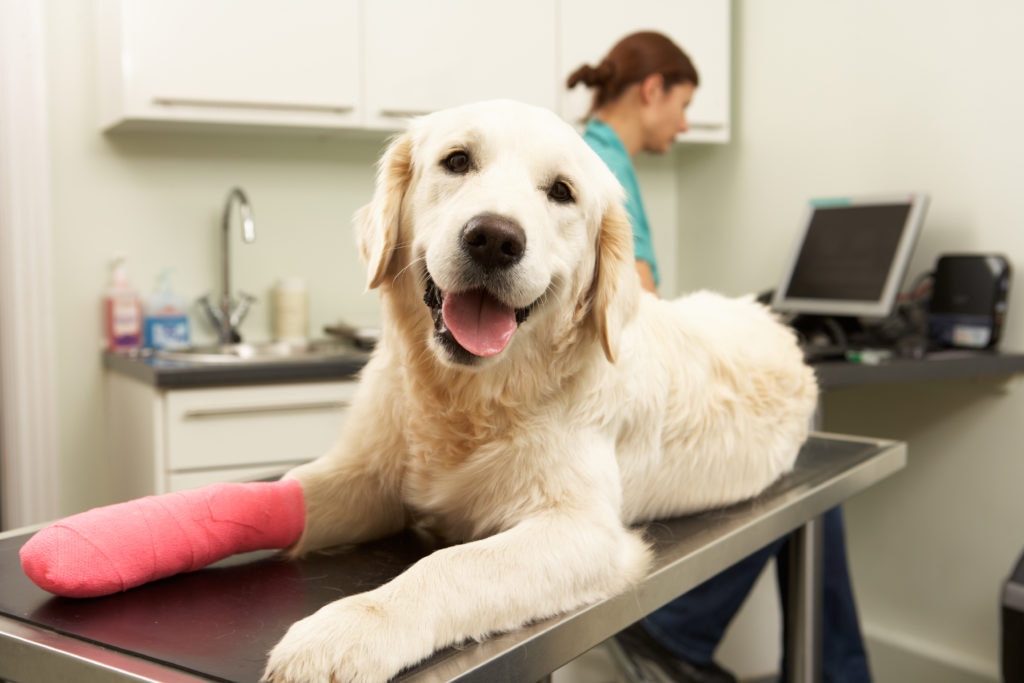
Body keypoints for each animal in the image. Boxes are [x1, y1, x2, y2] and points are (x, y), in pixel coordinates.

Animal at [262, 98, 815, 679]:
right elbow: (295, 491)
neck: (469, 397)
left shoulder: (583, 530)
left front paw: (345, 630)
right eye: (457, 160)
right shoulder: (368, 476)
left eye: (562, 191)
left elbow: (452, 564)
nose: (494, 238)